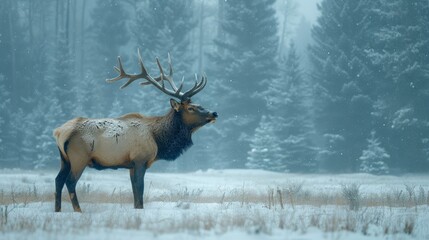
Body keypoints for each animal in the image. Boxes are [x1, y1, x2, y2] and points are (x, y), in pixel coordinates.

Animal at [53, 49, 217, 212]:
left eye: (199, 104)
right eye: (191, 108)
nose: (214, 113)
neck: (158, 139)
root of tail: (60, 132)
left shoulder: (131, 164)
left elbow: (134, 193)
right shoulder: (140, 159)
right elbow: (140, 190)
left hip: (64, 159)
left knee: (58, 180)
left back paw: (57, 209)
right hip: (79, 157)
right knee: (70, 182)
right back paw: (78, 211)